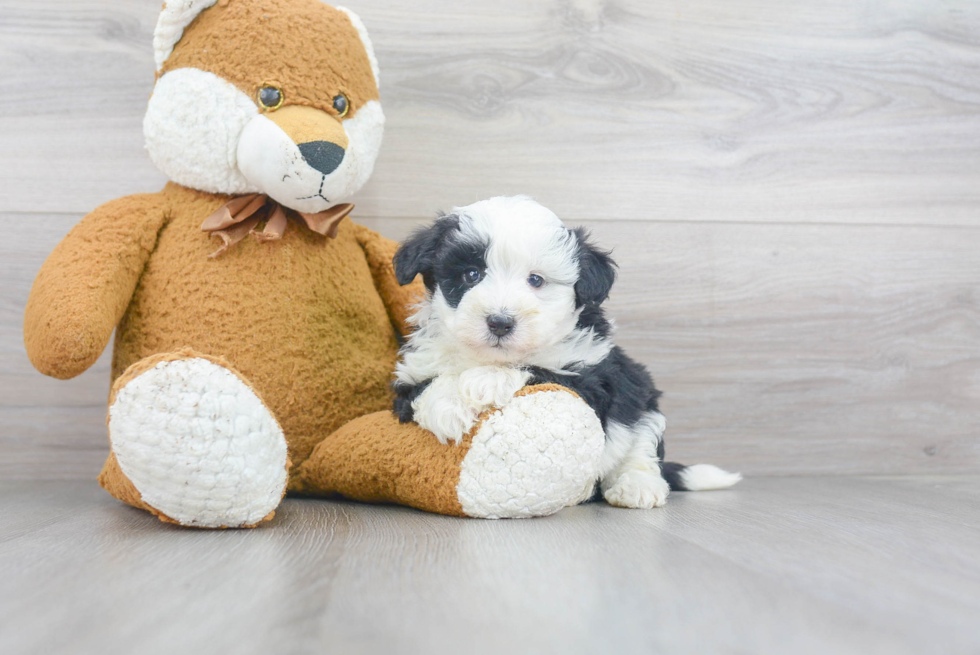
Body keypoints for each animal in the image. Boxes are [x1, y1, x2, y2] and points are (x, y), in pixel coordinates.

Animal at [386, 195, 740, 508]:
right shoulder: (413, 372)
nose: (500, 322)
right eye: (471, 274)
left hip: (642, 399)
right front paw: (447, 404)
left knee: (642, 448)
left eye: (536, 280)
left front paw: (483, 380)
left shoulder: (595, 379)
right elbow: (425, 386)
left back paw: (637, 487)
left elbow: (538, 370)